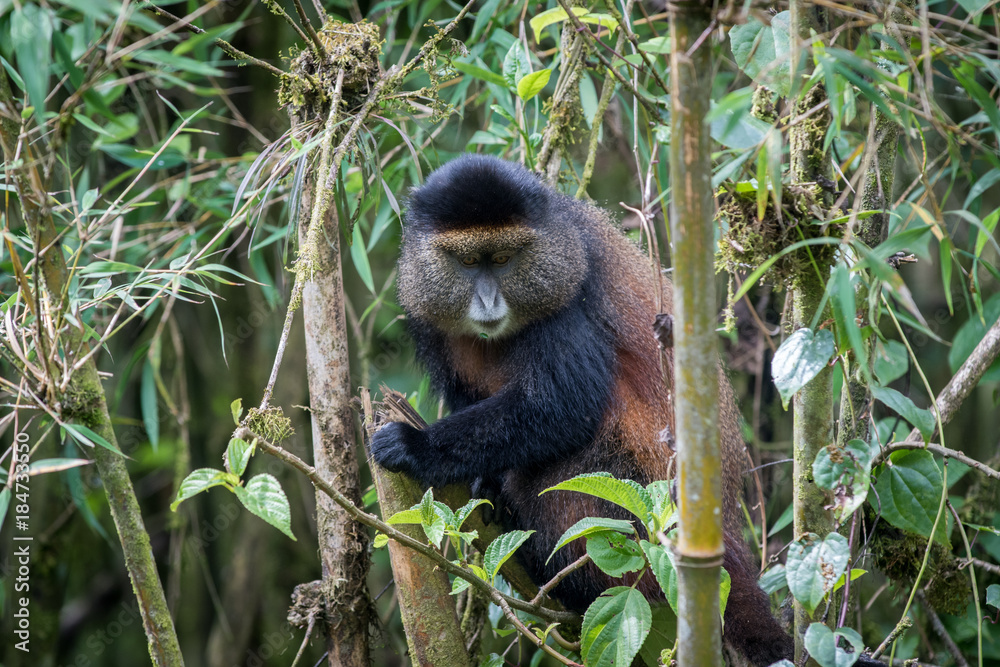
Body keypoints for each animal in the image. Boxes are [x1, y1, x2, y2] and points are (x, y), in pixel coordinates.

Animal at [369, 155, 875, 667]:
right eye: (470, 262)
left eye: (506, 259)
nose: (489, 301)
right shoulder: (427, 317)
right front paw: (480, 480)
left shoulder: (566, 303)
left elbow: (563, 407)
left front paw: (415, 445)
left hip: (629, 510)